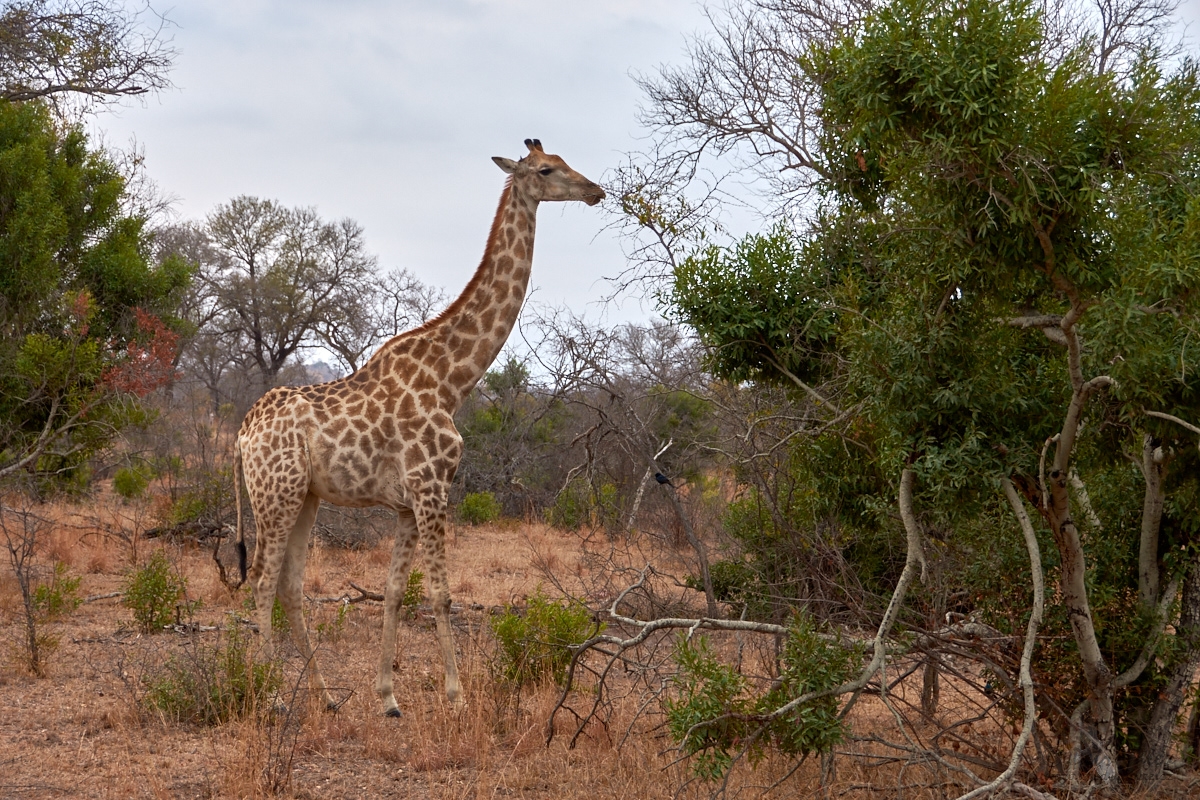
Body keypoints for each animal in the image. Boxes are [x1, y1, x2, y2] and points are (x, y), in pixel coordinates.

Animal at [229, 139, 604, 719]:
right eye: (546, 170)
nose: (595, 190)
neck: (452, 379)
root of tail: (241, 435)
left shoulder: (406, 503)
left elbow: (393, 592)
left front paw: (387, 697)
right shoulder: (431, 487)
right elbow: (440, 595)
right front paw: (458, 698)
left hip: (305, 496)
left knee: (289, 585)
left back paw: (324, 697)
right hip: (275, 494)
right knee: (263, 584)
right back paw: (270, 696)